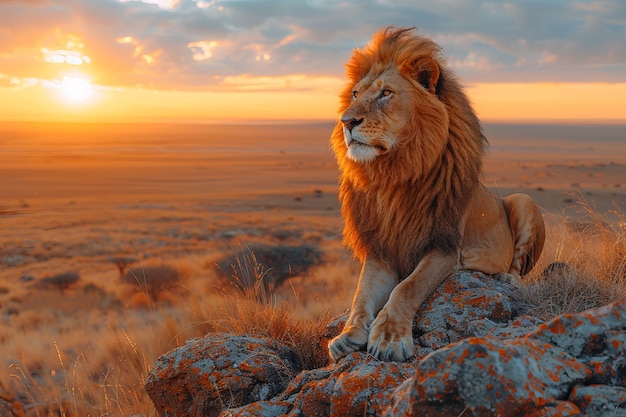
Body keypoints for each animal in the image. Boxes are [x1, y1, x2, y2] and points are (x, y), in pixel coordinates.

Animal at [326, 27, 540, 362]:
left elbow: (407, 288)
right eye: (355, 95)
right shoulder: (382, 250)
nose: (346, 122)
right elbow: (361, 294)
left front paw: (388, 338)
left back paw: (506, 279)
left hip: (523, 200)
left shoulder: (444, 247)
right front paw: (348, 335)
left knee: (519, 270)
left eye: (386, 94)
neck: (393, 177)